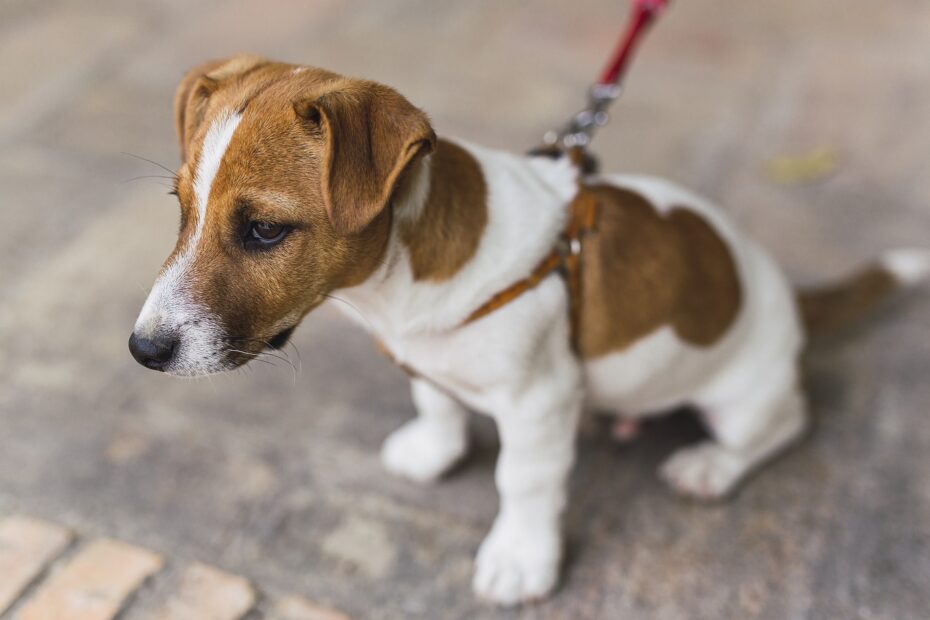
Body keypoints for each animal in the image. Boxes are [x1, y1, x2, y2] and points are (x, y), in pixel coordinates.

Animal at [130, 55, 928, 604]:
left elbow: (523, 480)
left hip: (743, 399)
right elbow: (435, 398)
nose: (142, 350)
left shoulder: (537, 403)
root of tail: (788, 295)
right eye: (182, 210)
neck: (399, 282)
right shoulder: (430, 360)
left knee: (785, 423)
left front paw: (519, 558)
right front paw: (433, 450)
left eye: (265, 230)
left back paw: (710, 466)